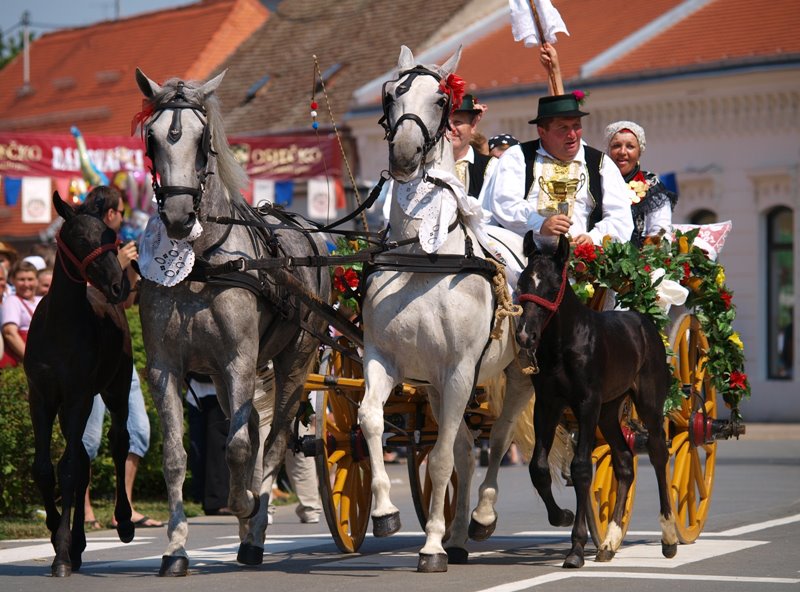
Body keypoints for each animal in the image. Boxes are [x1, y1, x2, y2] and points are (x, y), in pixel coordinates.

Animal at [24, 192, 134, 576]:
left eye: (112, 235)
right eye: (81, 239)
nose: (119, 286)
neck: (60, 327)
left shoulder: (78, 396)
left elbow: (69, 469)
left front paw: (60, 551)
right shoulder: (41, 398)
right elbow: (45, 469)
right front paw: (58, 533)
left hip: (116, 388)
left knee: (119, 441)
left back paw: (124, 521)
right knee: (86, 458)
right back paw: (80, 545)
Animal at [136, 67, 330, 576]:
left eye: (203, 140)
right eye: (151, 137)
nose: (178, 216)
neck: (201, 264)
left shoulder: (239, 359)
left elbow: (240, 448)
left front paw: (245, 504)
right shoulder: (166, 368)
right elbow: (175, 456)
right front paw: (176, 549)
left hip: (294, 362)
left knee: (275, 438)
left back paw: (255, 529)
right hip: (225, 380)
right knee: (257, 429)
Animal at [360, 44, 540, 572]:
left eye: (441, 98)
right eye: (391, 93)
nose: (403, 155)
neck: (423, 258)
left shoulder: (460, 368)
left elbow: (439, 459)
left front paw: (431, 547)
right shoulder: (386, 360)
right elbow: (370, 419)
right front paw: (385, 512)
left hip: (517, 374)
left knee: (496, 441)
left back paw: (480, 518)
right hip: (438, 388)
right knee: (463, 446)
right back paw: (459, 534)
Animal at [516, 232, 680, 568]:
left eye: (553, 285)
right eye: (523, 281)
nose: (525, 336)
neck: (564, 343)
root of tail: (643, 320)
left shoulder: (586, 403)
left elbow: (581, 469)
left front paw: (576, 549)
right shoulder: (548, 404)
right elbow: (538, 466)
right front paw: (562, 515)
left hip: (648, 402)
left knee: (658, 452)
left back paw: (669, 538)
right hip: (609, 409)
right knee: (625, 460)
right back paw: (609, 542)